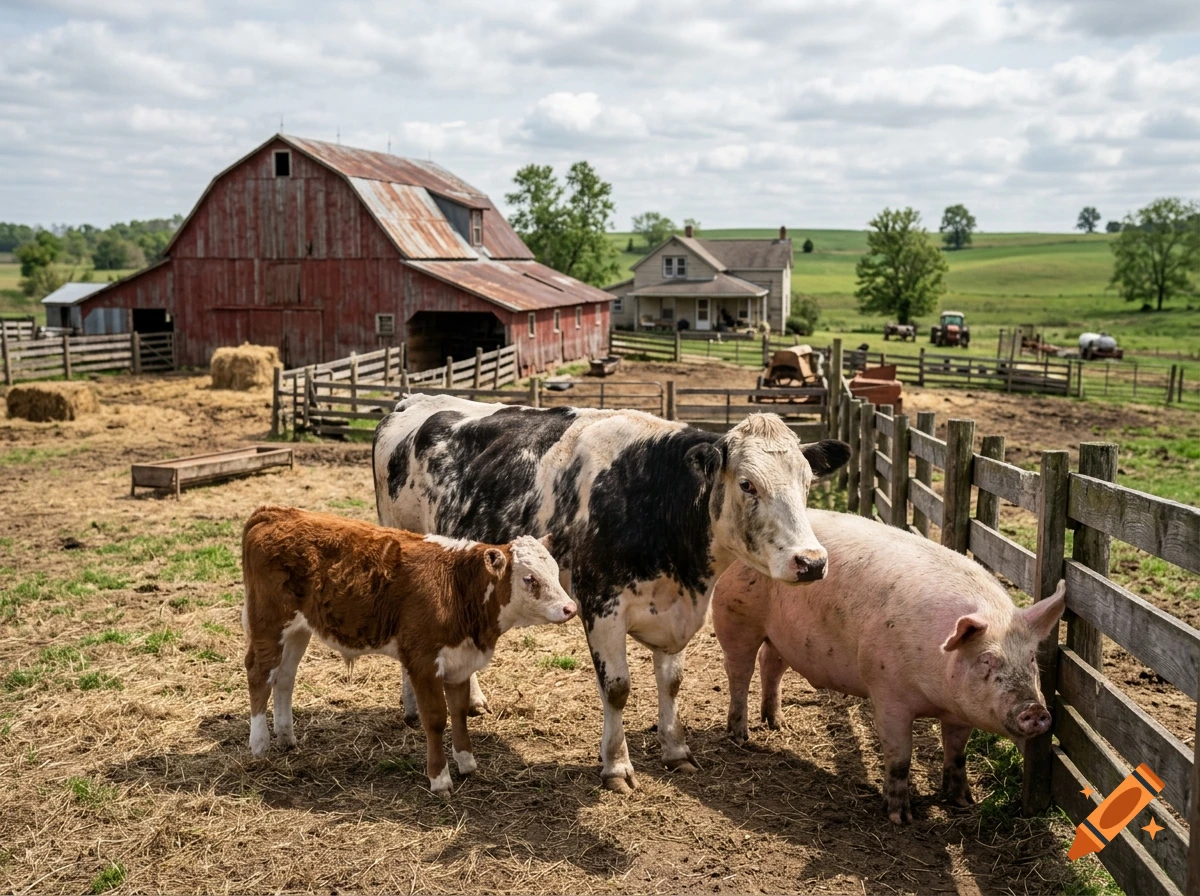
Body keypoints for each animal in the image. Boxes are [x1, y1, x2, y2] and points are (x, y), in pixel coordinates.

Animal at [240, 505, 577, 794]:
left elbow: (458, 713)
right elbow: (436, 717)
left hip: (298, 629)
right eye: (529, 578)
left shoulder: (460, 661)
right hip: (269, 620)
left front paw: (466, 763)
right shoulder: (422, 661)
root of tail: (274, 512)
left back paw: (286, 737)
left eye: (555, 570)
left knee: (284, 677)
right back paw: (259, 744)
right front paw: (439, 779)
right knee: (258, 673)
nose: (570, 608)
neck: (456, 585)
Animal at [372, 395, 850, 792]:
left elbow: (672, 682)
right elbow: (618, 688)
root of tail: (413, 400)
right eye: (748, 484)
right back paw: (412, 707)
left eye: (808, 483)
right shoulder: (601, 605)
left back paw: (470, 699)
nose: (811, 562)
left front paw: (676, 750)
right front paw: (617, 766)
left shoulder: (675, 611)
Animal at [712, 509, 1066, 824]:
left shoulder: (960, 713)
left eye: (1031, 658)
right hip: (735, 615)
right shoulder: (887, 692)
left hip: (781, 635)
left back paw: (777, 724)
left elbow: (957, 753)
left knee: (770, 664)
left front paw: (965, 802)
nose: (1035, 709)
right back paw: (740, 736)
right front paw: (901, 819)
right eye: (987, 659)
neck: (936, 694)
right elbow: (899, 757)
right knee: (739, 672)